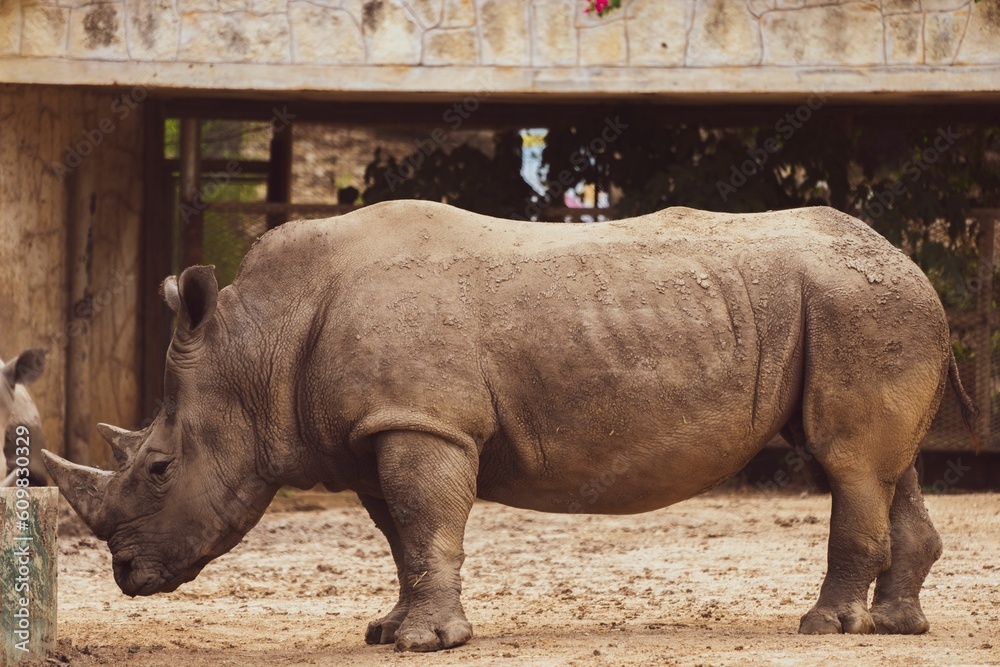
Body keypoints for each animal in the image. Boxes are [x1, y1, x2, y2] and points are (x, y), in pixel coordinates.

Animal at [44, 201, 976, 651]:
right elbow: (403, 536)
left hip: (857, 304)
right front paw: (389, 631)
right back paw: (896, 626)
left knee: (846, 461)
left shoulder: (422, 421)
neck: (257, 344)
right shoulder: (382, 428)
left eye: (158, 467)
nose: (126, 575)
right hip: (867, 306)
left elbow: (426, 525)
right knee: (887, 465)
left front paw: (425, 644)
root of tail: (912, 264)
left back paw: (826, 627)